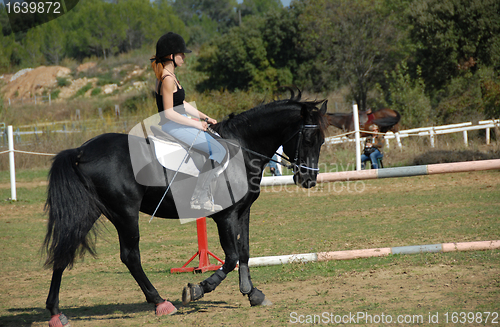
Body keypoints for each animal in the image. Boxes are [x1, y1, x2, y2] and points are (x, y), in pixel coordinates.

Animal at [43, 93, 328, 326]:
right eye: (309, 138)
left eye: (322, 140)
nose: (309, 180)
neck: (242, 148)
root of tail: (81, 150)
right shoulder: (225, 216)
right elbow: (231, 257)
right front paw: (198, 289)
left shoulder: (243, 211)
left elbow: (245, 252)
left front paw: (253, 294)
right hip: (125, 213)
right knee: (130, 256)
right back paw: (161, 303)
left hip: (90, 211)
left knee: (64, 249)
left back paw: (56, 313)